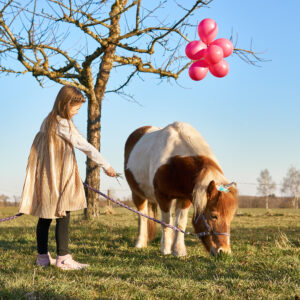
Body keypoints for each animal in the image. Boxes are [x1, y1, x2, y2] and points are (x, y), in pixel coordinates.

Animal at [123, 122, 237, 255]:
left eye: (231, 217)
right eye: (214, 216)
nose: (224, 251)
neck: (174, 162)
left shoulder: (185, 198)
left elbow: (180, 223)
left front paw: (178, 250)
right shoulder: (163, 197)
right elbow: (166, 223)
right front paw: (166, 249)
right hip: (137, 194)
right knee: (142, 216)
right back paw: (140, 243)